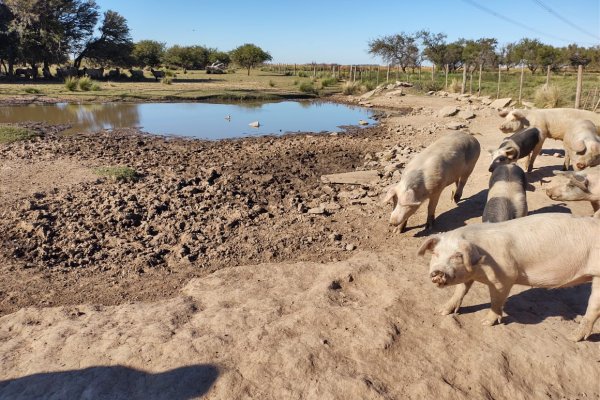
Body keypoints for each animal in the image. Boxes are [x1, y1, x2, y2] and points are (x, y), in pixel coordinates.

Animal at [418, 214, 600, 342]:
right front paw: (441, 311)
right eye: (435, 253)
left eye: (457, 256)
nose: (438, 272)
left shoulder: (505, 276)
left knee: (593, 307)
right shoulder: (469, 276)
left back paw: (572, 337)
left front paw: (485, 323)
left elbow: (496, 300)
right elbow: (460, 290)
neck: (480, 265)